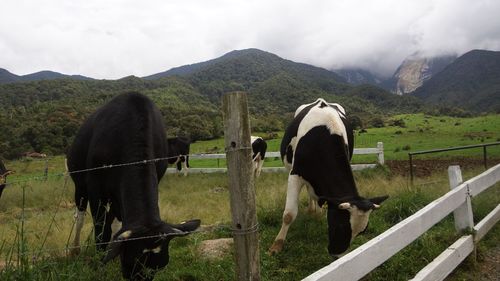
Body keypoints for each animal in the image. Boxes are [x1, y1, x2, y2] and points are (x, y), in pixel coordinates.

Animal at [67, 91, 201, 278]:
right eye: (132, 262)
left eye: (159, 267)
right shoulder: (96, 189)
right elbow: (101, 229)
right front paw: (100, 262)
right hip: (80, 186)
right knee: (79, 218)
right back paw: (74, 249)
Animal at [268, 98, 388, 258]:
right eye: (339, 226)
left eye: (361, 232)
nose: (337, 257)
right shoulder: (295, 174)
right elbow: (289, 214)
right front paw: (276, 246)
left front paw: (319, 216)